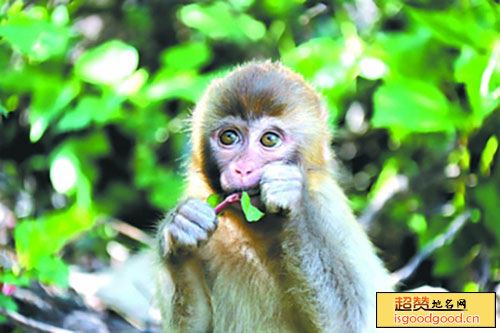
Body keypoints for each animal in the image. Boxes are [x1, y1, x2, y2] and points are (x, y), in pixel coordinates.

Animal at [154, 61, 392, 330]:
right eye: (229, 137)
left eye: (269, 139)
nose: (243, 168)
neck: (259, 225)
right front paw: (181, 229)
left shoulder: (328, 207)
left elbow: (354, 319)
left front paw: (292, 199)